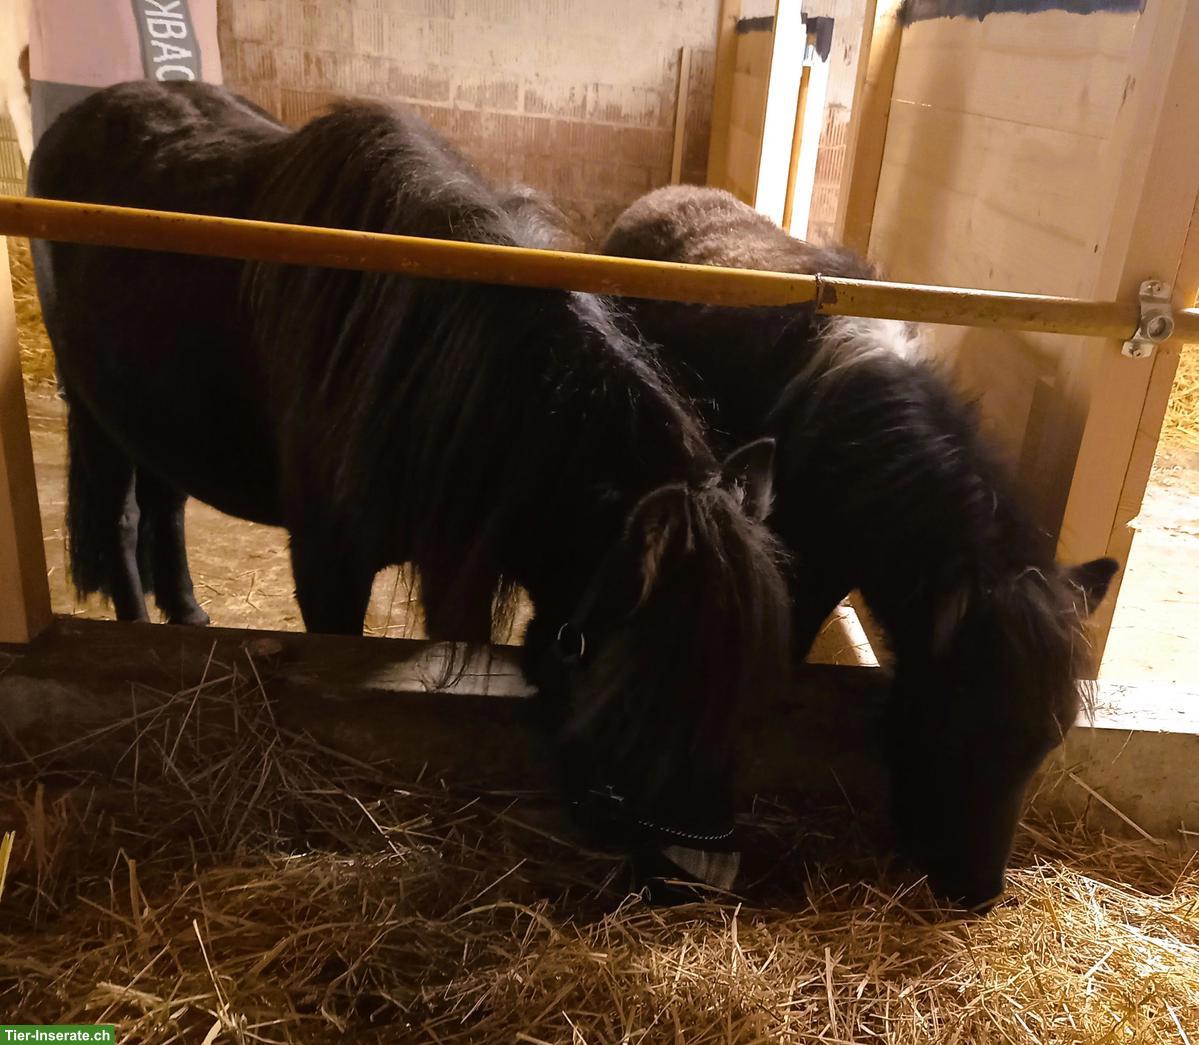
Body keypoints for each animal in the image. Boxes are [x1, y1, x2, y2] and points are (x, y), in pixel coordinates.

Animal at [29, 85, 793, 892]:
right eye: (646, 691)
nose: (701, 872)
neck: (415, 361)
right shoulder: (328, 567)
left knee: (164, 506)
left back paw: (189, 615)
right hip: (94, 410)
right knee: (120, 517)